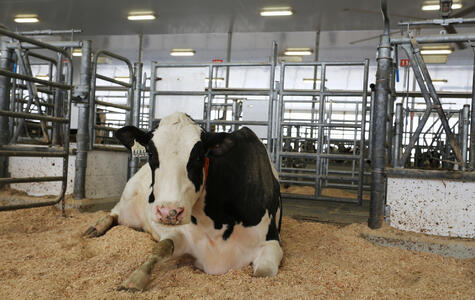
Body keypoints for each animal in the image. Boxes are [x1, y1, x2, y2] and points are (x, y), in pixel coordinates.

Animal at [82, 112, 282, 290]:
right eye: (150, 153)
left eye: (199, 156)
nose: (169, 212)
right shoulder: (184, 235)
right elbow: (161, 248)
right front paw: (135, 278)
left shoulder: (271, 242)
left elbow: (263, 272)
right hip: (128, 197)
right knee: (114, 213)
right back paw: (94, 228)